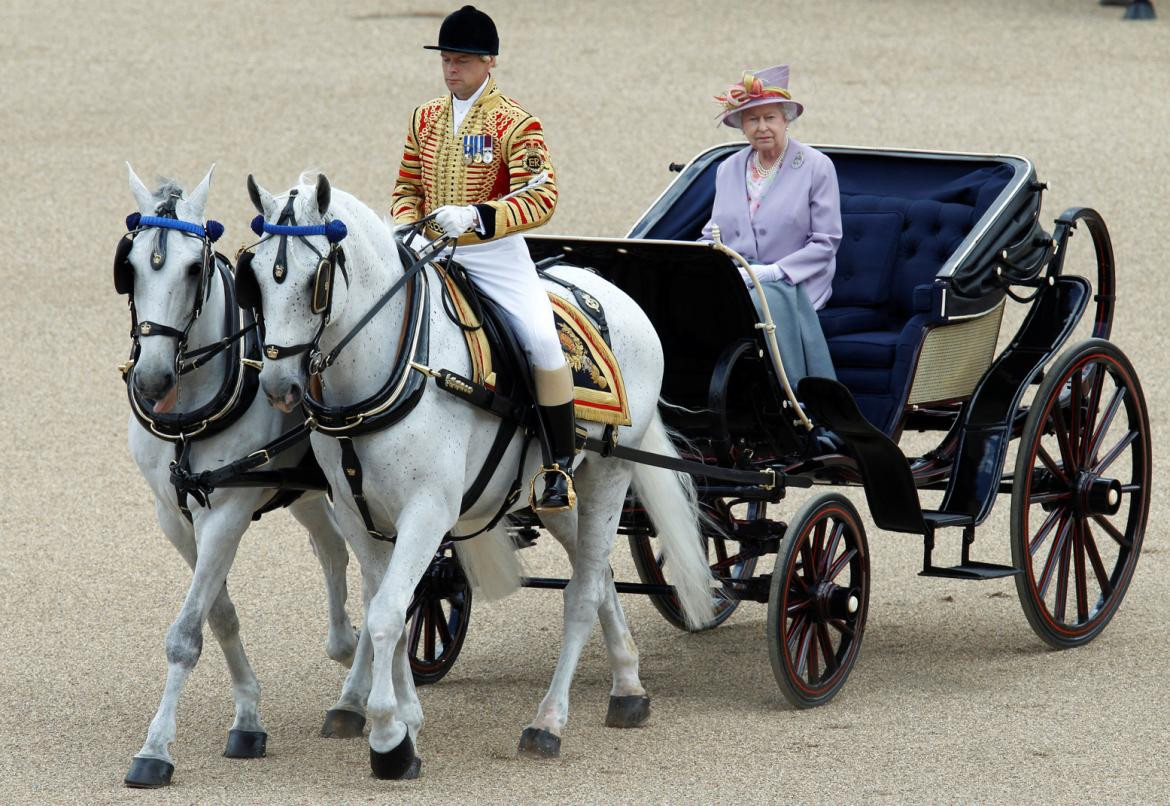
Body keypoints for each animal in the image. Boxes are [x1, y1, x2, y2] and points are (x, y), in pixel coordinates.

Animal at [119, 163, 358, 786]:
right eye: (130, 267)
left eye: (193, 268)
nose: (152, 379)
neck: (188, 413)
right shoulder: (175, 517)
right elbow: (219, 615)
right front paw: (248, 718)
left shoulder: (226, 512)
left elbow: (185, 635)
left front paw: (155, 750)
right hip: (304, 490)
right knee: (333, 550)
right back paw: (348, 652)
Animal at [244, 170, 711, 781]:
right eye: (253, 275)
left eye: (314, 279)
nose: (280, 387)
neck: (394, 368)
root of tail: (614, 294)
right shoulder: (356, 514)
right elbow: (386, 609)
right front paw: (404, 721)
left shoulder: (427, 511)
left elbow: (389, 614)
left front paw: (390, 739)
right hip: (555, 494)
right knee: (600, 574)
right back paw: (628, 688)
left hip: (610, 473)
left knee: (583, 593)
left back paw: (548, 722)